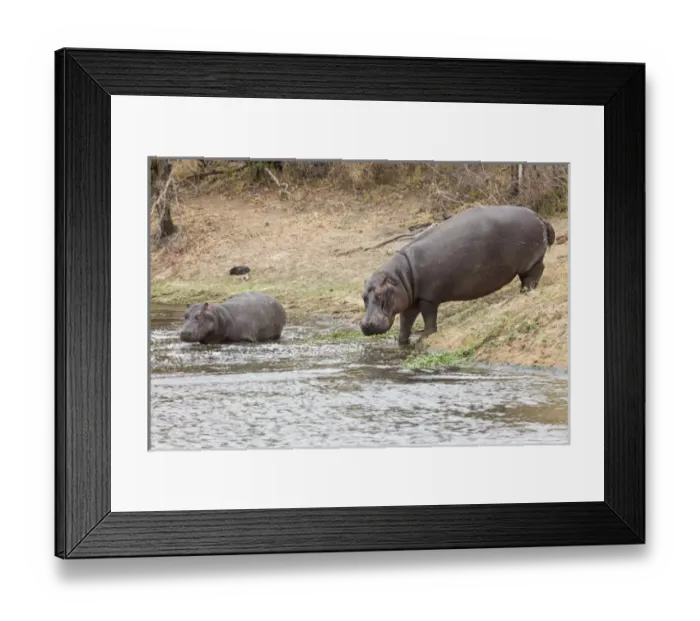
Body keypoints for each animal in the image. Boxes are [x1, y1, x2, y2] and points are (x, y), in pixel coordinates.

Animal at [359, 205, 556, 345]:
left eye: (380, 294)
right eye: (363, 296)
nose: (366, 325)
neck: (400, 277)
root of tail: (539, 216)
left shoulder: (428, 298)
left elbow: (429, 318)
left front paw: (425, 337)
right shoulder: (410, 302)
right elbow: (405, 323)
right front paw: (401, 342)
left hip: (530, 262)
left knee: (536, 272)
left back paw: (526, 291)